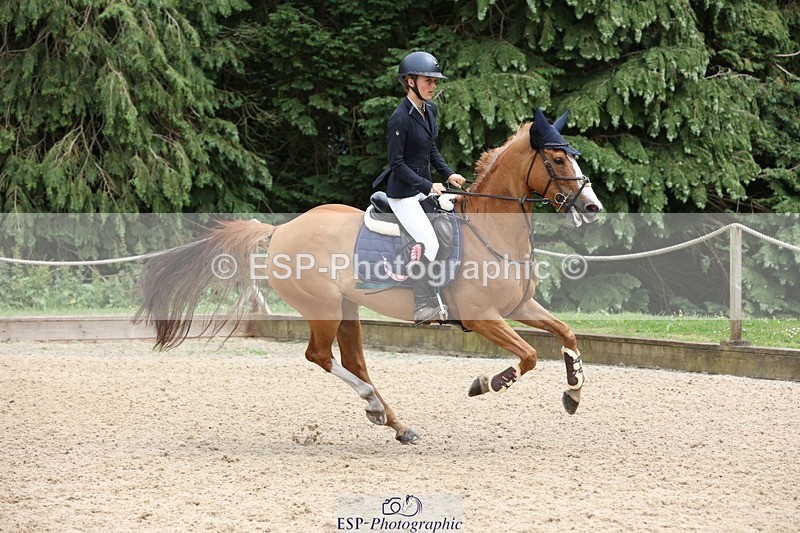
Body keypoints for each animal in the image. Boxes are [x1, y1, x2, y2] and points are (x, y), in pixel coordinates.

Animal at [134, 108, 603, 443]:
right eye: (557, 158)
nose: (593, 206)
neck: (490, 231)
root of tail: (281, 229)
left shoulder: (520, 305)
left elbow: (565, 332)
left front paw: (574, 392)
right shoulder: (482, 317)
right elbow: (528, 355)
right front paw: (487, 383)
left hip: (347, 308)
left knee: (354, 361)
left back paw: (395, 422)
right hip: (323, 307)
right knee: (321, 357)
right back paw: (374, 406)